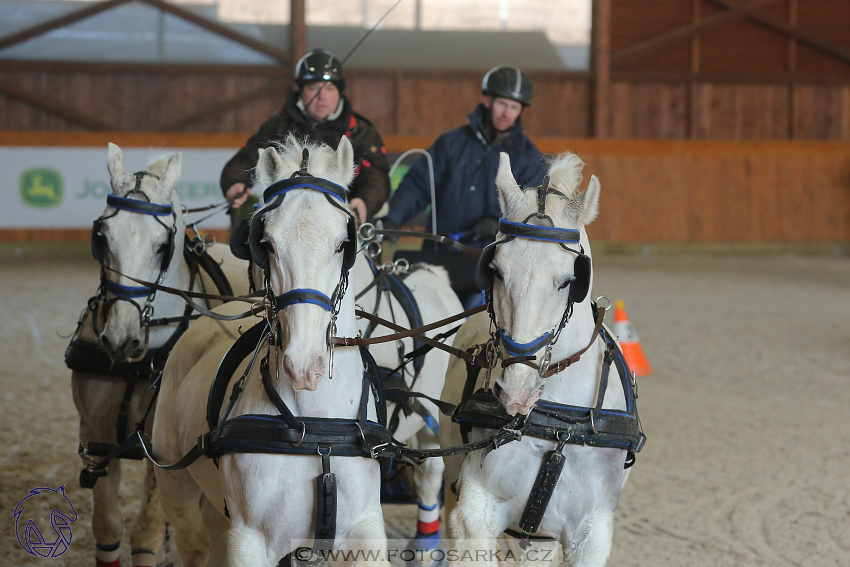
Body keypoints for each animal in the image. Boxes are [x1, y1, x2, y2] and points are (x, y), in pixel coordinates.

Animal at [71, 144, 247, 567]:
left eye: (162, 246)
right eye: (102, 237)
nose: (122, 337)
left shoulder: (160, 449)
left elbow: (145, 532)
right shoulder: (96, 438)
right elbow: (107, 527)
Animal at [152, 138, 390, 567]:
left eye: (342, 244)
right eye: (267, 244)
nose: (303, 366)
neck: (316, 431)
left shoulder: (363, 530)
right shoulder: (250, 538)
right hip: (177, 489)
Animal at [438, 153, 628, 564]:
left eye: (568, 281)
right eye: (495, 270)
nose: (516, 393)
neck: (556, 425)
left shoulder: (592, 532)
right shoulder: (474, 510)